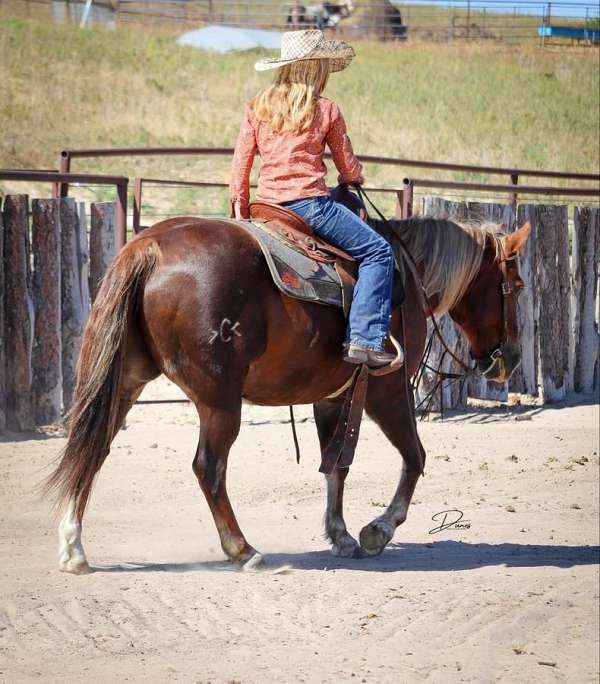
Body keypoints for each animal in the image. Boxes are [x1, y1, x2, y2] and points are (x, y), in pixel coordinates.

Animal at [45, 212, 528, 572]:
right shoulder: (386, 391)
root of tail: (149, 245)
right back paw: (243, 549)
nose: (512, 358)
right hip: (220, 400)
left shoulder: (333, 395)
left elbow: (336, 466)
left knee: (92, 447)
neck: (405, 275)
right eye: (518, 286)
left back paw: (73, 547)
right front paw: (378, 530)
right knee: (209, 467)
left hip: (125, 382)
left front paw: (341, 534)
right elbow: (414, 457)